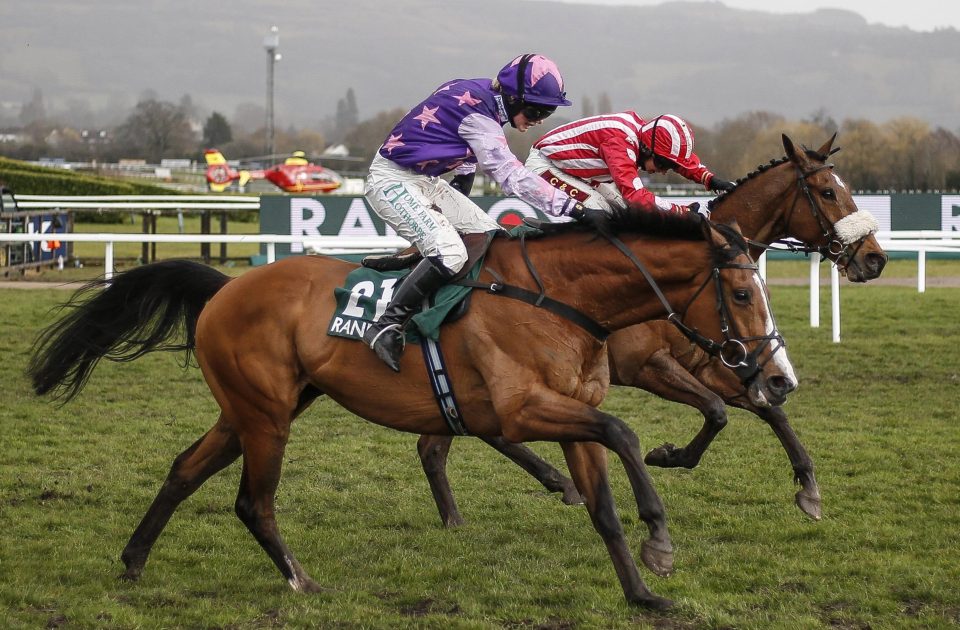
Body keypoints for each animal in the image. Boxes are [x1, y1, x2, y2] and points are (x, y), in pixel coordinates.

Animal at [28, 212, 796, 612]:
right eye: (741, 291)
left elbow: (605, 496)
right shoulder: (523, 412)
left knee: (185, 469)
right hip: (266, 415)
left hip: (253, 409)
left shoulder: (570, 410)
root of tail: (226, 287)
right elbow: (626, 432)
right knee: (252, 501)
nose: (773, 375)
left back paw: (133, 560)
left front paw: (641, 591)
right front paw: (660, 539)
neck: (559, 298)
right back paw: (300, 578)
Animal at [416, 133, 888, 528]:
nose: (875, 258)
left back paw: (533, 490)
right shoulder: (646, 364)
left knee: (453, 438)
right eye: (828, 191)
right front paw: (668, 455)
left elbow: (766, 408)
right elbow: (715, 409)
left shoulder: (710, 359)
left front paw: (808, 487)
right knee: (450, 440)